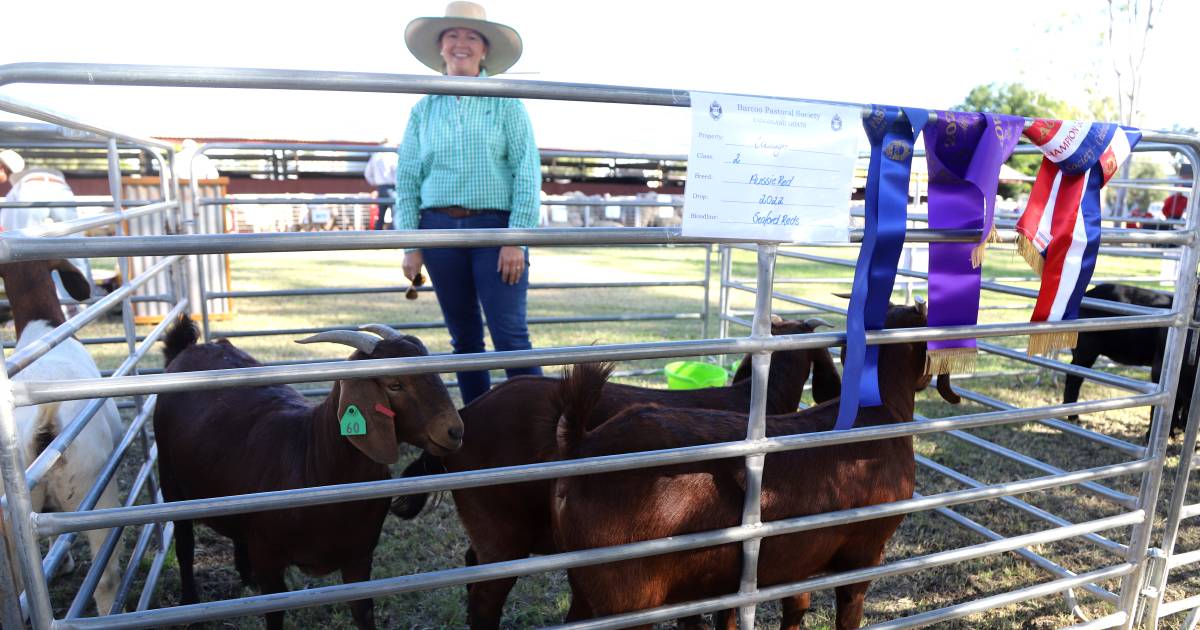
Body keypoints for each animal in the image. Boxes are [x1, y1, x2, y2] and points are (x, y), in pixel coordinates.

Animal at [154, 319, 463, 628]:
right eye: (395, 384)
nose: (454, 430)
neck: (313, 460)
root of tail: (191, 347)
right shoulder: (268, 557)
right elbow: (274, 614)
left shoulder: (359, 556)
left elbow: (363, 611)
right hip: (170, 481)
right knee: (184, 545)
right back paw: (190, 604)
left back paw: (245, 577)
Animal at [549, 302, 955, 624]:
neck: (878, 413)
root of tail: (584, 442)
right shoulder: (865, 550)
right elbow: (848, 611)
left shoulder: (798, 558)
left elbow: (795, 607)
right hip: (627, 593)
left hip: (585, 586)